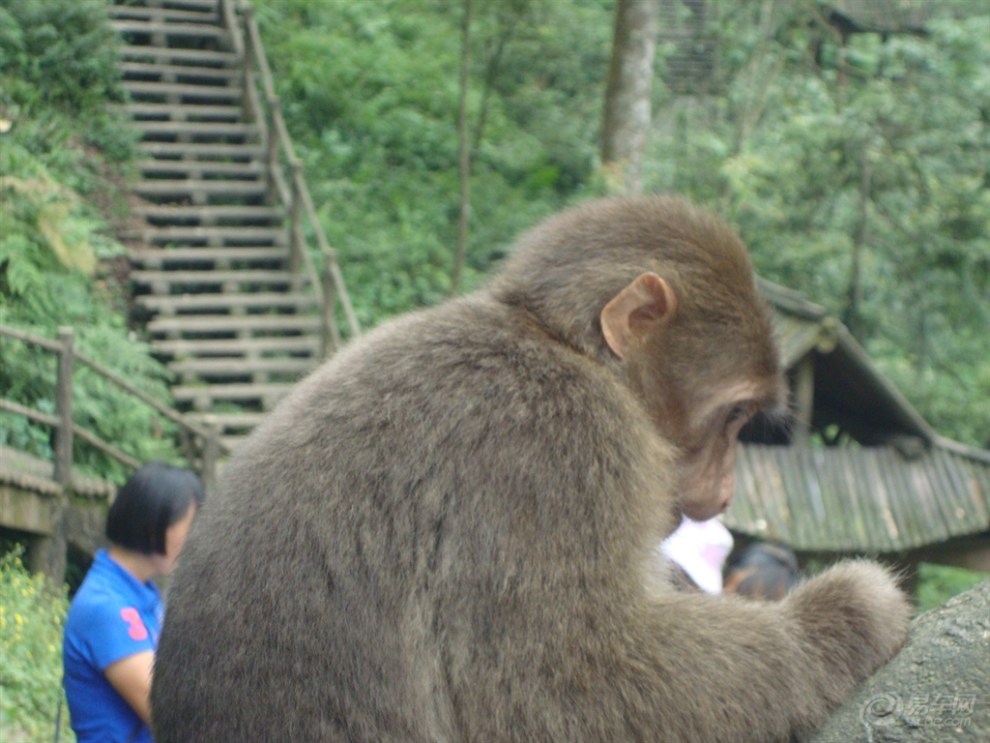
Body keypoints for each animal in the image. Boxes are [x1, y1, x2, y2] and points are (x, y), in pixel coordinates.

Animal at [151, 195, 912, 740]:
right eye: (731, 417)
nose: (722, 493)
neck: (557, 341)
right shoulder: (564, 445)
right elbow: (561, 693)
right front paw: (842, 613)